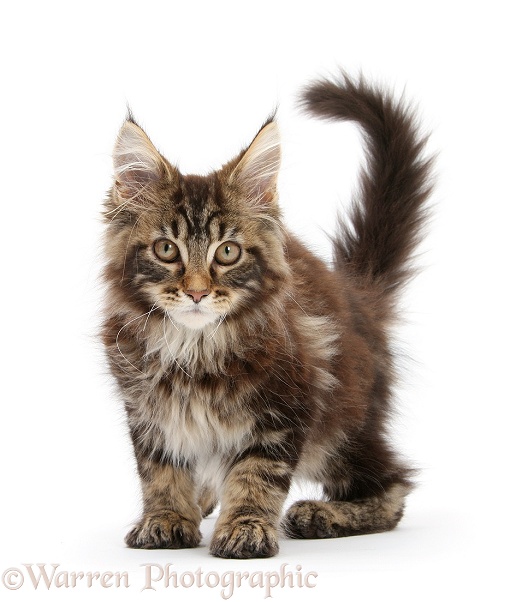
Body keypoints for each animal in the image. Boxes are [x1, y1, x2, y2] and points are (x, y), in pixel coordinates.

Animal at [101, 72, 432, 556]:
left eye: (227, 252)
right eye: (166, 249)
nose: (197, 292)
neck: (195, 346)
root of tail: (357, 296)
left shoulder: (288, 406)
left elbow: (256, 474)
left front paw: (246, 528)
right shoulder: (148, 410)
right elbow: (160, 468)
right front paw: (166, 517)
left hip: (339, 430)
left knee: (394, 487)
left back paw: (320, 514)